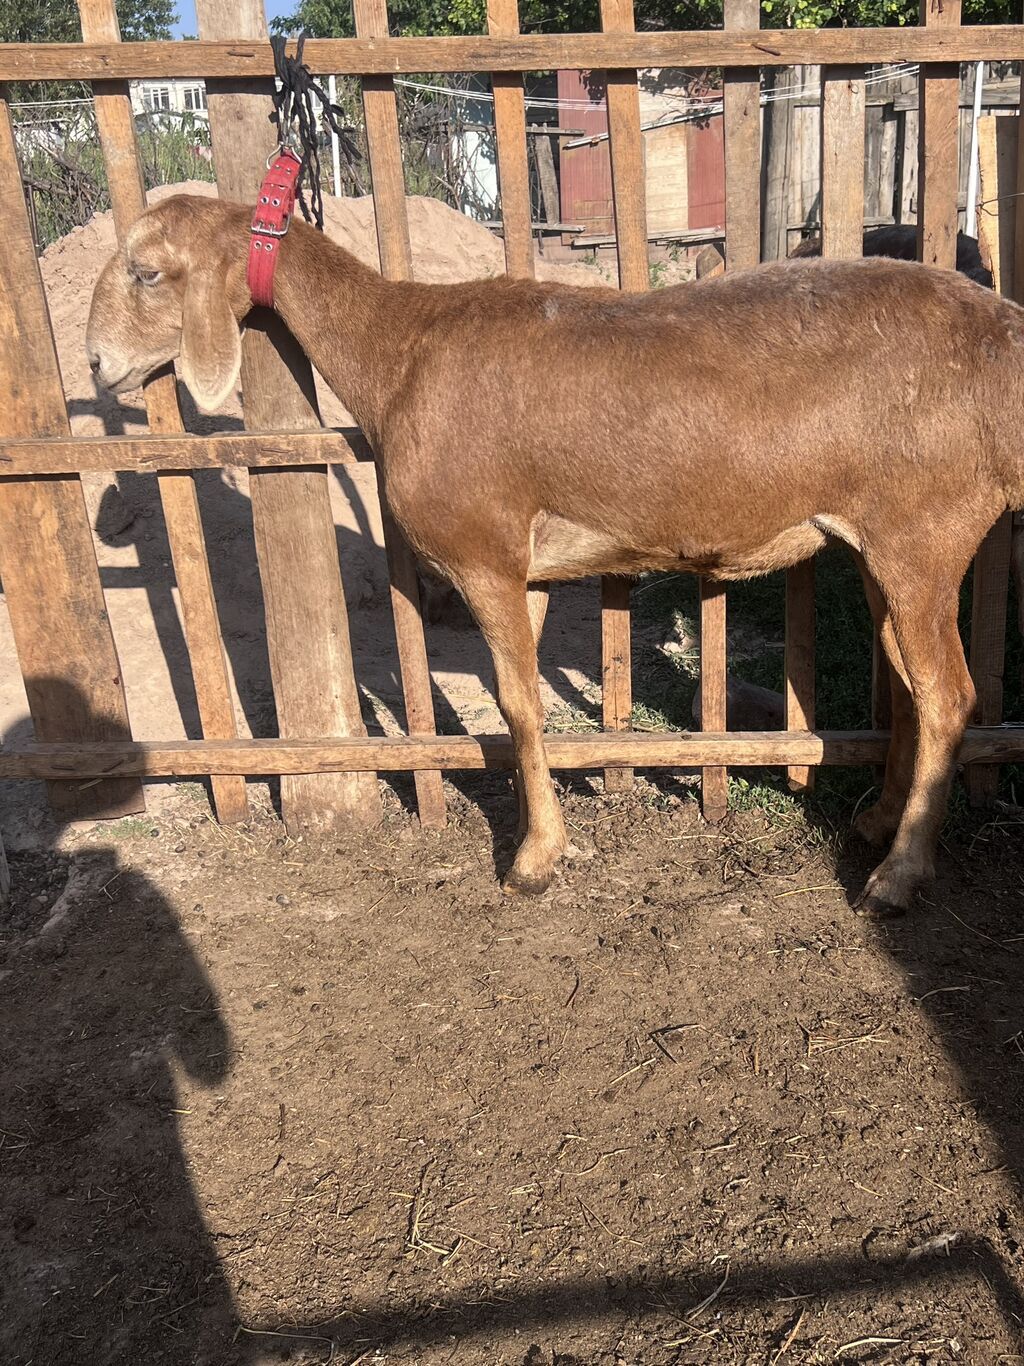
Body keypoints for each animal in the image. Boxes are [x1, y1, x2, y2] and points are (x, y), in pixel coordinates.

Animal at [87, 193, 1024, 917]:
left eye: (146, 272)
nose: (97, 362)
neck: (398, 353)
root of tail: (1000, 345)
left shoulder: (482, 554)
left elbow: (519, 703)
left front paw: (534, 858)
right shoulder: (525, 567)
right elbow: (521, 703)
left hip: (924, 529)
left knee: (948, 695)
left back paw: (897, 875)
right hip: (886, 544)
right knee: (909, 684)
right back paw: (877, 822)